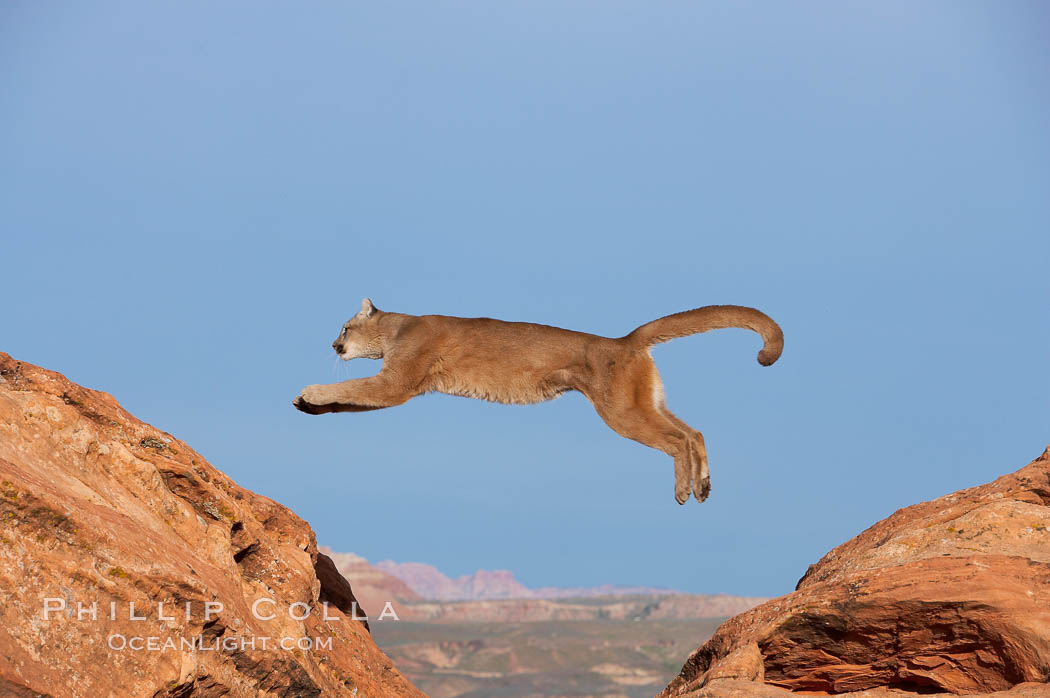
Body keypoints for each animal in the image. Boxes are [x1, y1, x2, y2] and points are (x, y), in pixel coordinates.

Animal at [294, 295, 781, 503]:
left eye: (344, 327)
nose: (334, 345)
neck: (398, 327)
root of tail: (624, 341)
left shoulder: (395, 383)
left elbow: (352, 390)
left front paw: (308, 392)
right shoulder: (393, 386)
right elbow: (347, 401)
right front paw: (309, 406)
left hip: (622, 411)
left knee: (679, 440)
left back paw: (683, 490)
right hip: (644, 403)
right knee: (695, 432)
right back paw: (703, 485)